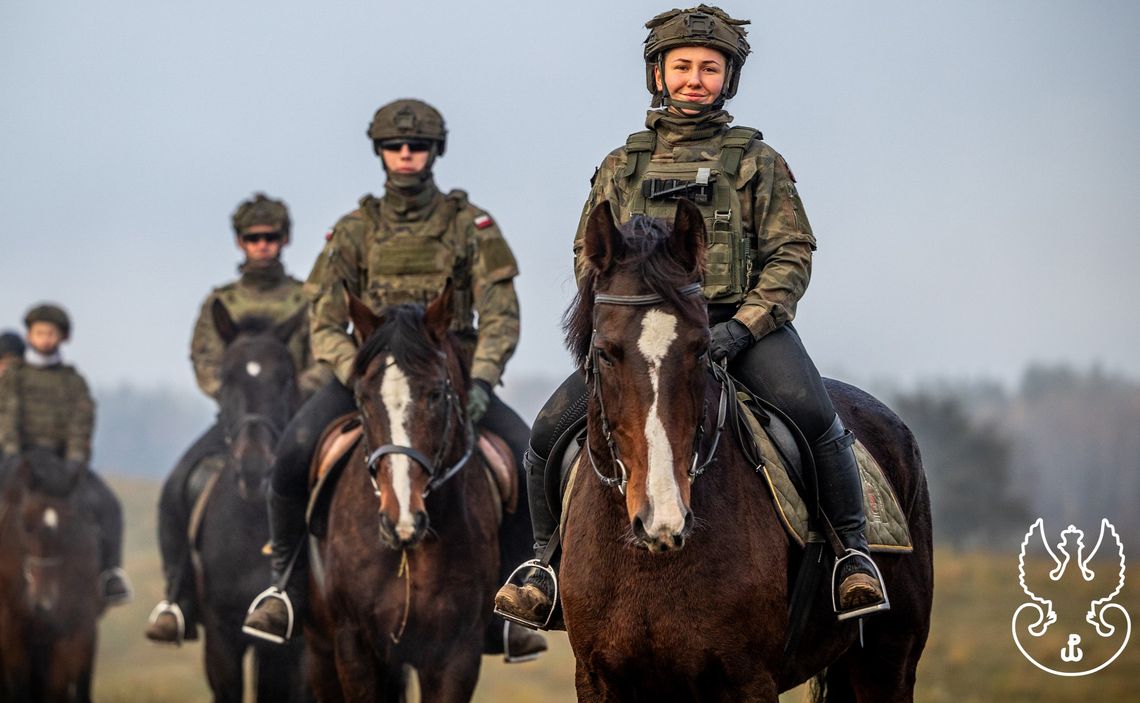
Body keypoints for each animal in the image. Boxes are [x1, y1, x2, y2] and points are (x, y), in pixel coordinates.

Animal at [556, 200, 930, 697]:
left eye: (700, 348)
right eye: (604, 352)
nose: (662, 516)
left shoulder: (749, 679)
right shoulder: (598, 680)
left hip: (890, 659)